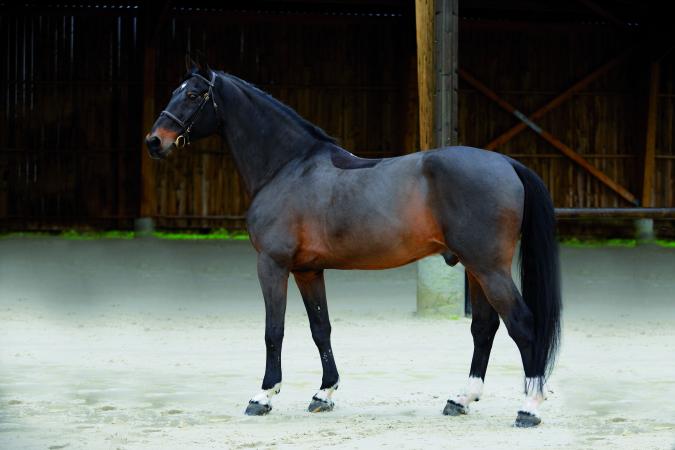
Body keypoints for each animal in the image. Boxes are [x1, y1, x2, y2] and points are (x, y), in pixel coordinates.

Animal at [145, 63, 562, 428]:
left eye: (194, 94)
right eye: (175, 91)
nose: (154, 141)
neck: (288, 167)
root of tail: (507, 163)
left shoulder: (272, 265)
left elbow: (273, 330)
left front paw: (263, 396)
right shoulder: (308, 270)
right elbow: (321, 328)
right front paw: (324, 393)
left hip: (489, 268)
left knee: (522, 324)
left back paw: (528, 408)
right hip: (475, 268)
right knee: (484, 327)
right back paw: (461, 399)